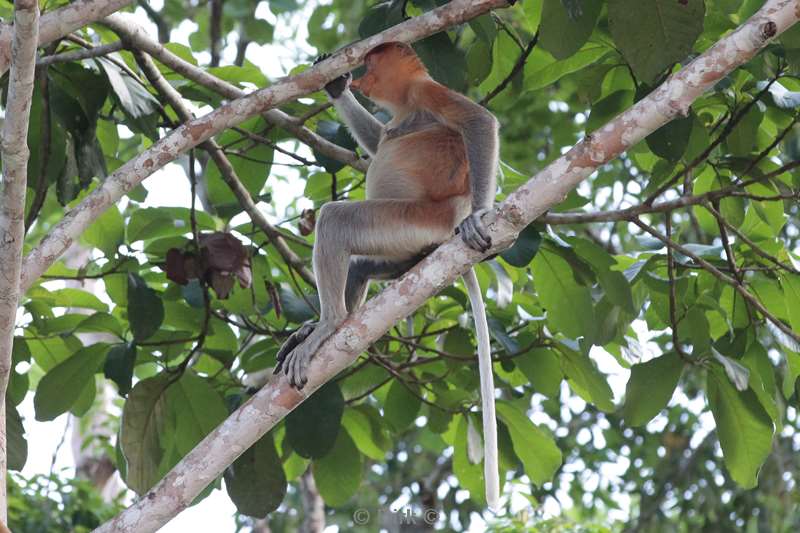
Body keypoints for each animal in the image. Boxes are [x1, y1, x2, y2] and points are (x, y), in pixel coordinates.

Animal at [276, 40, 500, 508]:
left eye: (372, 63)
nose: (358, 77)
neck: (404, 102)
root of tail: (446, 223)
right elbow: (378, 141)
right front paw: (335, 86)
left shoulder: (425, 92)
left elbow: (478, 121)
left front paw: (482, 215)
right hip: (403, 242)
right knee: (361, 265)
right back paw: (320, 325)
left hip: (407, 219)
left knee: (336, 221)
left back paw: (329, 325)